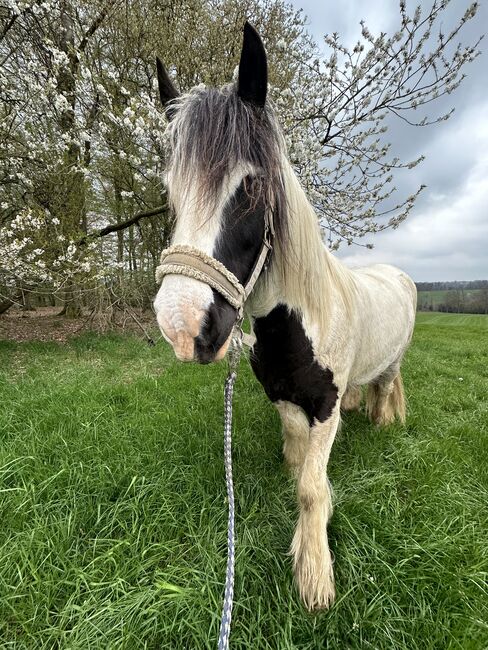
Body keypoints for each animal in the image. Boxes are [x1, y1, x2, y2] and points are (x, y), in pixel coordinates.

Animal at [152, 20, 416, 608]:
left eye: (249, 184)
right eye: (170, 191)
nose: (183, 326)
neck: (300, 326)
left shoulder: (323, 408)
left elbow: (313, 489)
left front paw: (314, 576)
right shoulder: (286, 401)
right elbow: (298, 464)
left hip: (392, 363)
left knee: (387, 386)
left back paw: (385, 422)